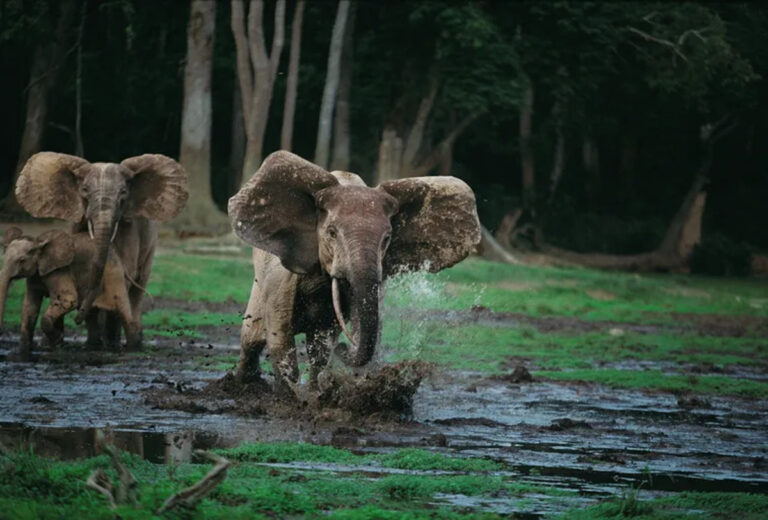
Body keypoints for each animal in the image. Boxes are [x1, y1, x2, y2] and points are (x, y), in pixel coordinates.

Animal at [0, 227, 136, 354]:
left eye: (21, 260)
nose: (76, 321)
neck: (38, 243)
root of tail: (116, 254)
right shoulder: (34, 276)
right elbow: (30, 306)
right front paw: (23, 351)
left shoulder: (59, 271)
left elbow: (68, 300)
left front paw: (57, 339)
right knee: (93, 314)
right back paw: (94, 348)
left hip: (114, 274)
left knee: (122, 309)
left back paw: (131, 349)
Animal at [14, 152, 188, 349]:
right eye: (84, 190)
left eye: (123, 192)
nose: (76, 320)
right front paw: (91, 344)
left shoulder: (129, 229)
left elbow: (123, 276)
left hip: (150, 245)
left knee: (137, 289)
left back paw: (127, 343)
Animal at [228, 151, 481, 395]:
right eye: (331, 232)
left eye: (387, 238)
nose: (345, 347)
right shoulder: (281, 275)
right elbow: (280, 335)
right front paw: (289, 399)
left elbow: (328, 342)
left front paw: (318, 394)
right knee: (251, 337)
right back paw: (242, 386)